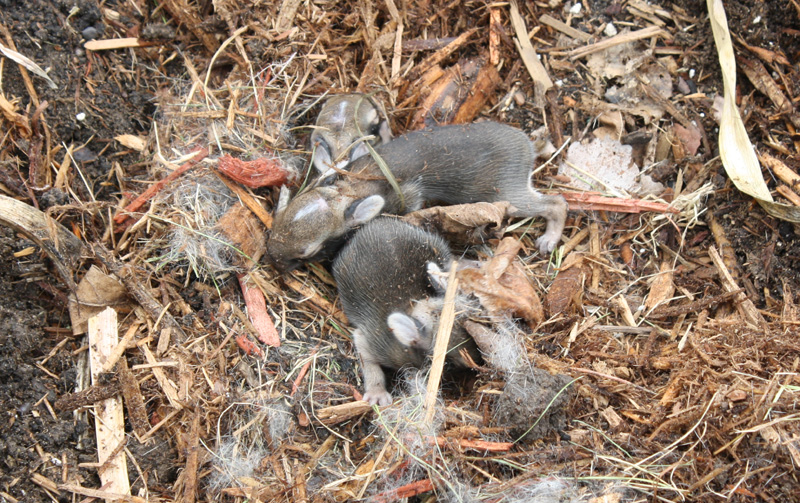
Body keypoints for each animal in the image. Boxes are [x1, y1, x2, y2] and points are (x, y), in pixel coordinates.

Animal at [268, 122, 568, 272]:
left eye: (307, 252)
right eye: (277, 221)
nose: (273, 260)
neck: (350, 189)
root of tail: (528, 147)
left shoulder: (411, 197)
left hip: (507, 192)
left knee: (557, 203)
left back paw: (548, 240)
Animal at [332, 219, 478, 408]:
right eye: (450, 363)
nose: (479, 362)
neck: (412, 307)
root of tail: (372, 224)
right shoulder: (372, 342)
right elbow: (369, 362)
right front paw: (377, 395)